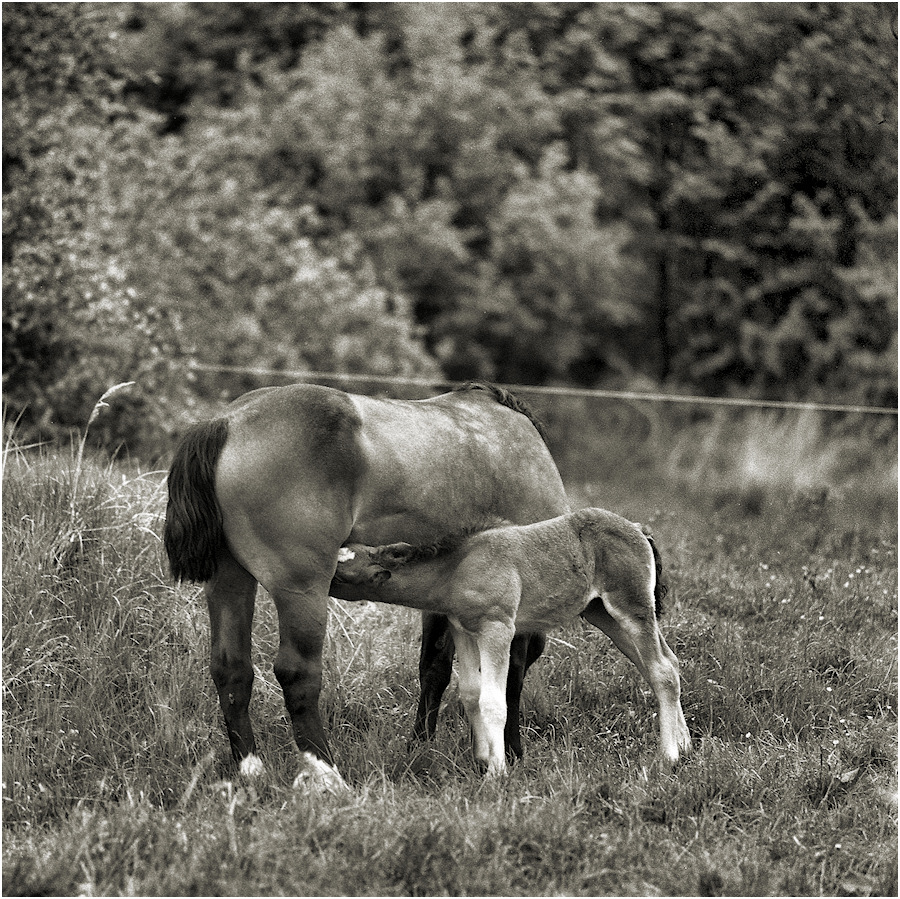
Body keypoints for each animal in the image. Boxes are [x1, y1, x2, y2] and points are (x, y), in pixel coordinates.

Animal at [165, 384, 568, 792]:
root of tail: (227, 423)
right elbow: (511, 677)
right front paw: (510, 752)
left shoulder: (444, 598)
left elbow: (434, 669)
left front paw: (421, 749)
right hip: (301, 592)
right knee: (297, 674)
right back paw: (327, 773)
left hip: (229, 584)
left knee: (231, 669)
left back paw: (251, 770)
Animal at [334, 510, 692, 776]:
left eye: (341, 573)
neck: (457, 568)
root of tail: (638, 529)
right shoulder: (463, 629)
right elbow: (471, 693)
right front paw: (482, 759)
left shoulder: (497, 629)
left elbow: (494, 701)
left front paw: (497, 772)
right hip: (602, 613)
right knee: (665, 664)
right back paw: (685, 745)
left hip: (631, 608)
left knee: (661, 670)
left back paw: (669, 757)